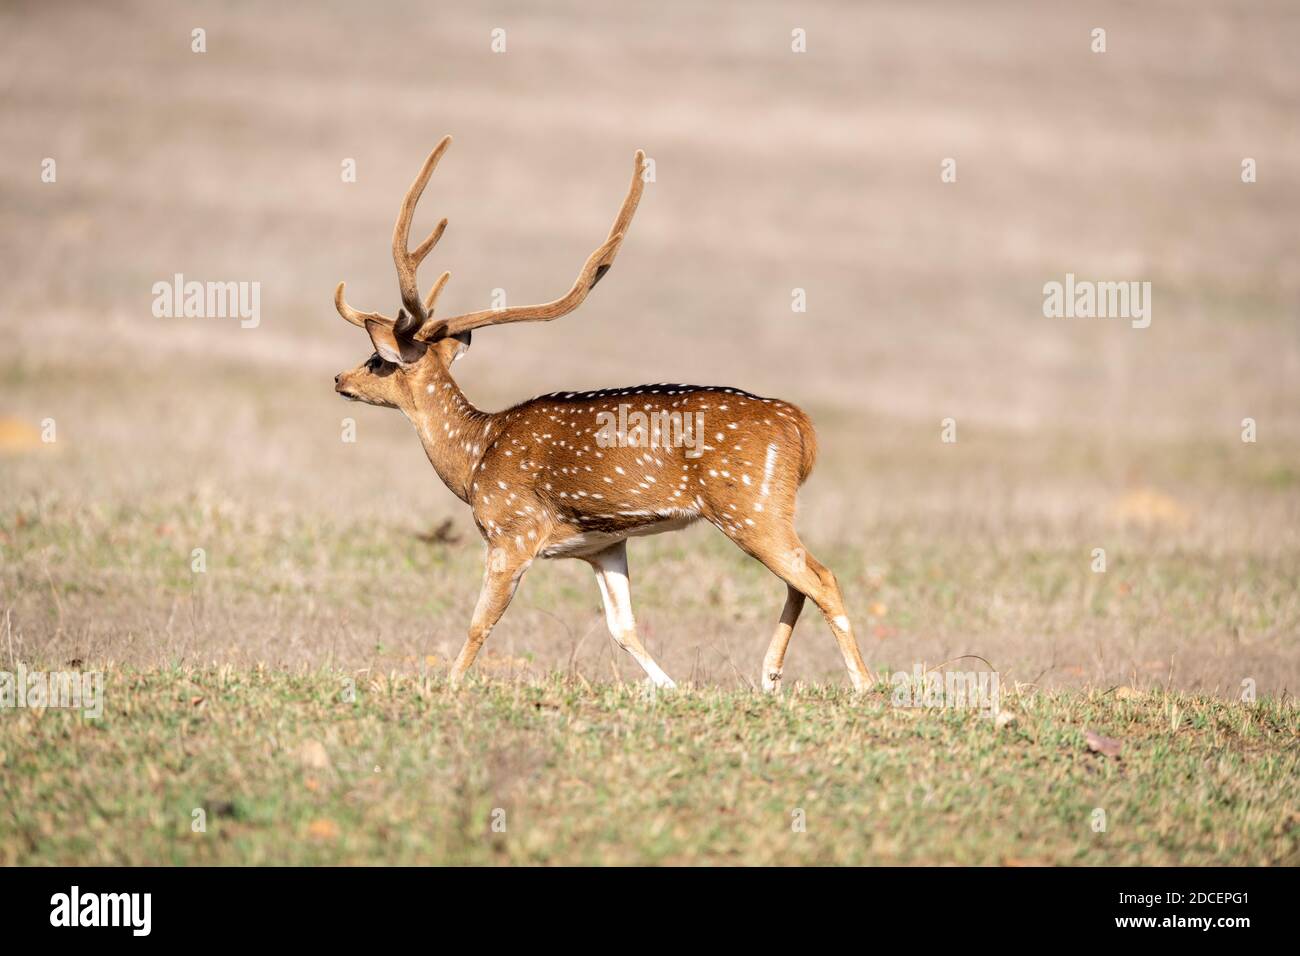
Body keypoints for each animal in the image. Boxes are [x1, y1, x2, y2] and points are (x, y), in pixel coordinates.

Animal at [332, 136, 873, 693]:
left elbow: (481, 621)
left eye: (376, 360)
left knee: (822, 578)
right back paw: (769, 675)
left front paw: (449, 685)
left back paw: (863, 684)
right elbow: (623, 627)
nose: (340, 380)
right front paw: (670, 687)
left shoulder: (512, 530)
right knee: (801, 580)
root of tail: (798, 423)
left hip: (750, 504)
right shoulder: (603, 544)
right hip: (767, 509)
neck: (473, 458)